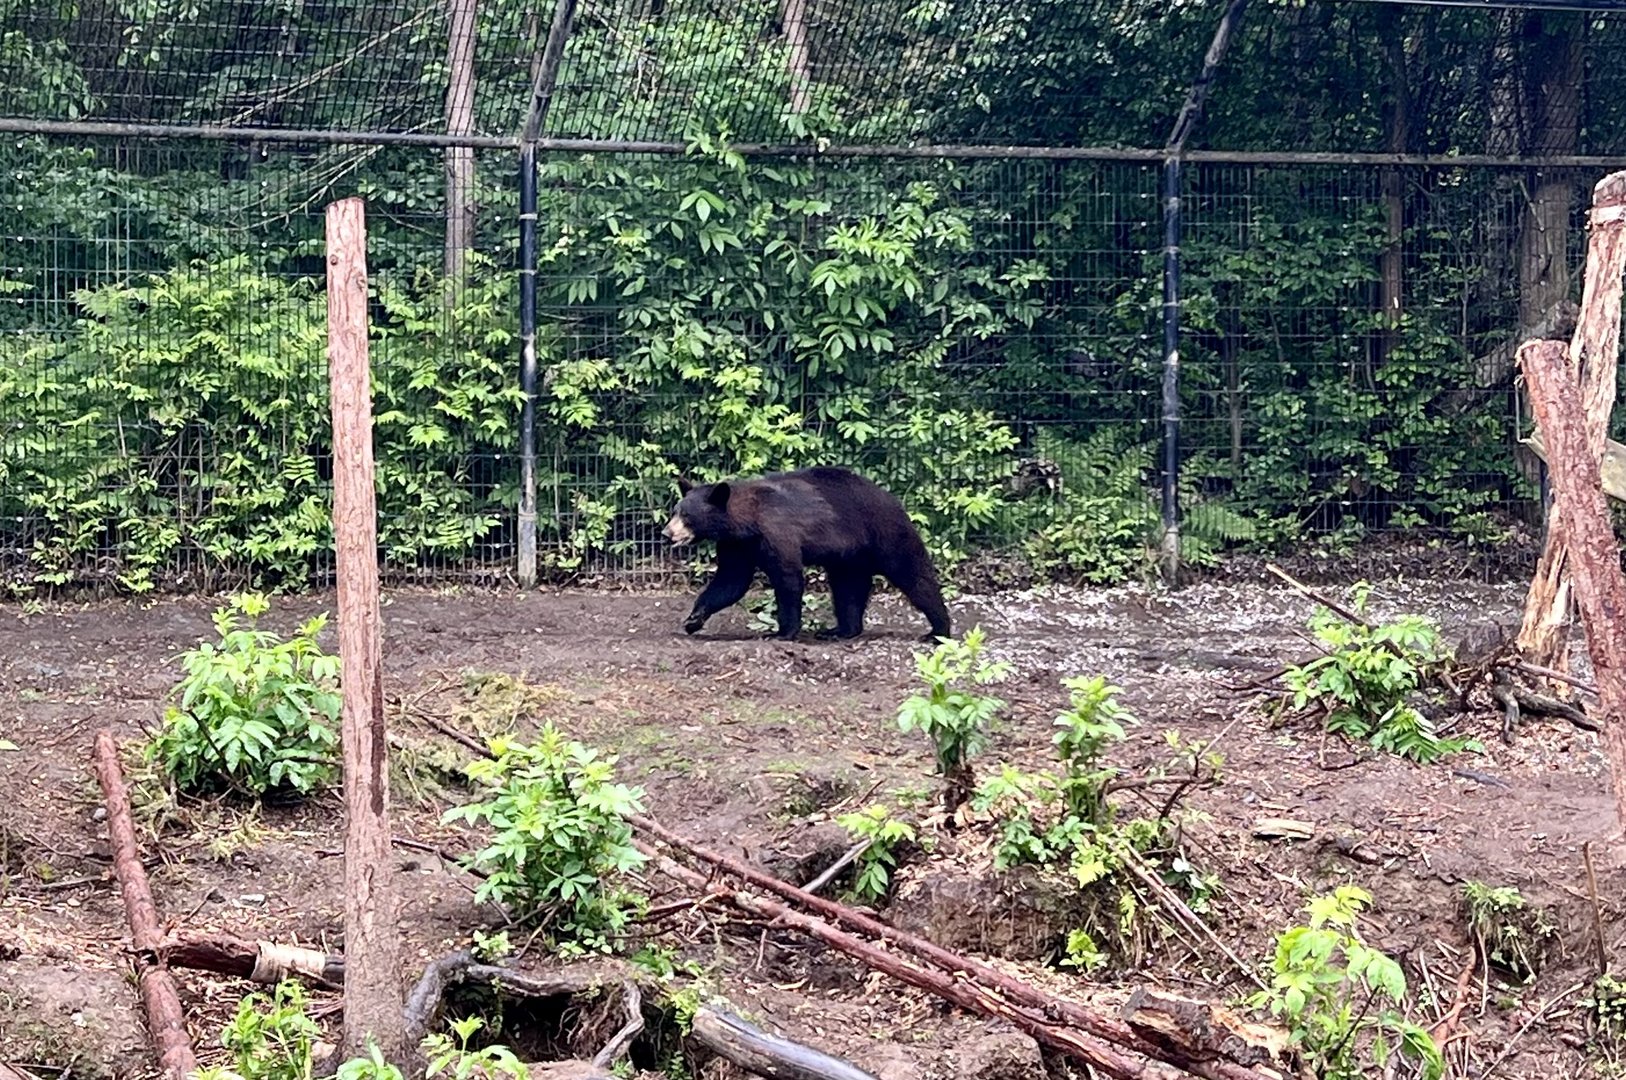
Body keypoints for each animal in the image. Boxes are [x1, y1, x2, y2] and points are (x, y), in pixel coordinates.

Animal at [662, 466, 952, 642]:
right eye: (675, 511)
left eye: (686, 515)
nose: (666, 533)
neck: (747, 522)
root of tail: (894, 500)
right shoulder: (737, 545)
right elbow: (730, 580)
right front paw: (694, 619)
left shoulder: (777, 533)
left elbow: (787, 578)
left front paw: (782, 632)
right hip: (850, 556)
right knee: (848, 589)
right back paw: (840, 630)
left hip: (885, 534)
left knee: (914, 575)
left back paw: (938, 629)